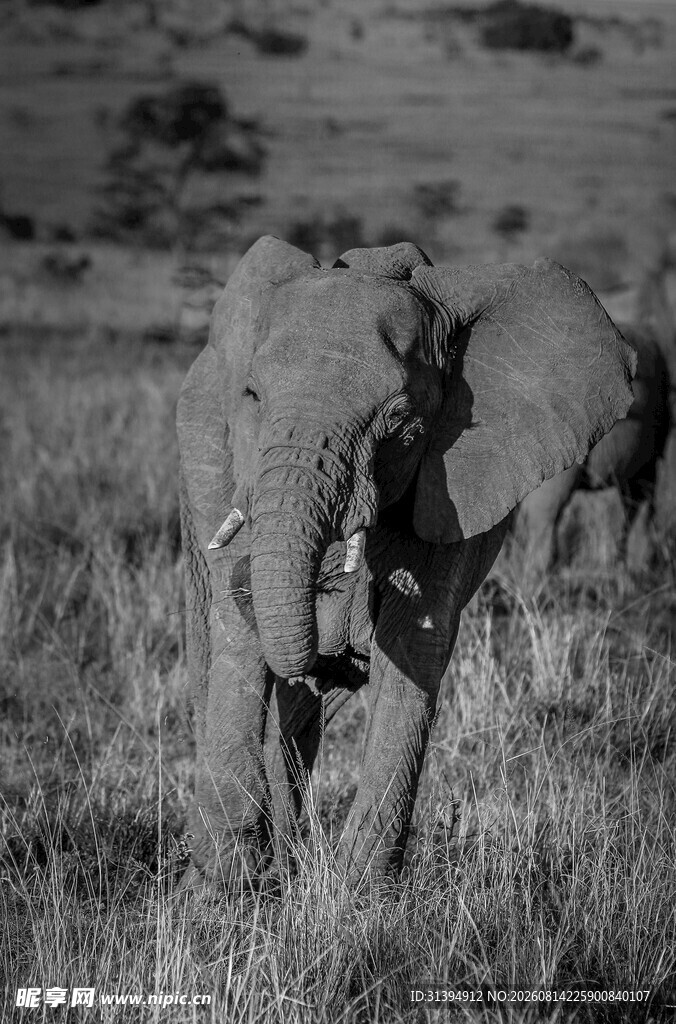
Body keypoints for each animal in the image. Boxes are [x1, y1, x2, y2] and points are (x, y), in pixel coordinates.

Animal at [176, 235, 635, 887]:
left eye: (398, 421)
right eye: (252, 397)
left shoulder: (458, 484)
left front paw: (362, 895)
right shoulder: (224, 463)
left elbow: (413, 643)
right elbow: (239, 633)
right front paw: (222, 880)